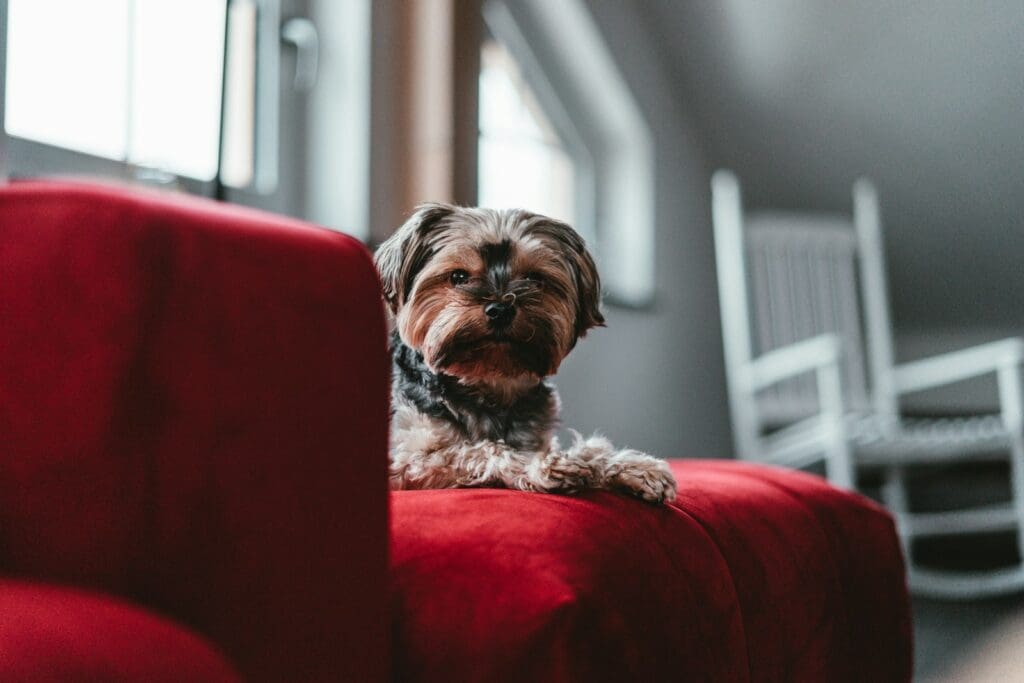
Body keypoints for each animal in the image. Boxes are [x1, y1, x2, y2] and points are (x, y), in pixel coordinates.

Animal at [372, 201, 675, 501]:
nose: (500, 309)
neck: (487, 385)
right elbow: (481, 449)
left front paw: (636, 468)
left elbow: (592, 449)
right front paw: (543, 465)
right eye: (458, 276)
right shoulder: (408, 460)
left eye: (533, 278)